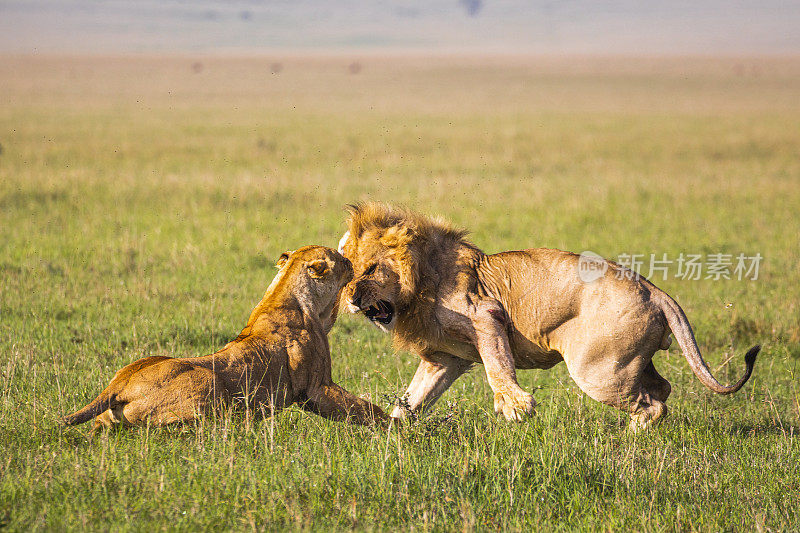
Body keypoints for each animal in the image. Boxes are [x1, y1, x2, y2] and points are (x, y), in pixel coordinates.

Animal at [63, 247, 388, 430]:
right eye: (340, 259)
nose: (352, 261)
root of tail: (118, 385)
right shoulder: (316, 389)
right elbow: (366, 409)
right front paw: (396, 429)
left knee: (100, 425)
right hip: (209, 385)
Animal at [336, 202, 756, 430]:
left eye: (371, 269)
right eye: (347, 272)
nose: (352, 298)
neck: (418, 284)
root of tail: (654, 289)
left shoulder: (485, 315)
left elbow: (497, 367)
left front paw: (515, 408)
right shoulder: (445, 357)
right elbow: (413, 398)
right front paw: (391, 430)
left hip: (597, 371)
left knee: (654, 405)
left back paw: (630, 437)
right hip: (623, 362)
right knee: (661, 389)